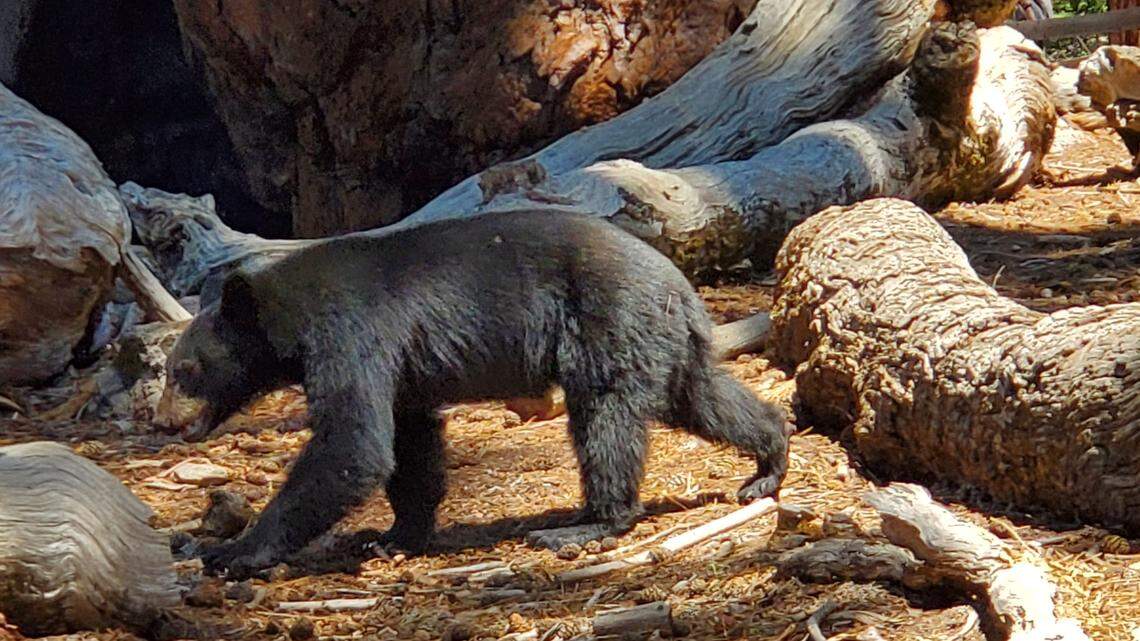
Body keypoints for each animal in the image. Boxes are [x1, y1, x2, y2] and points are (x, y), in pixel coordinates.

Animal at [156, 210, 789, 578]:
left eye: (184, 368)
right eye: (168, 368)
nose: (160, 421)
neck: (287, 315)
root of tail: (679, 285)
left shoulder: (352, 336)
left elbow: (351, 444)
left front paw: (233, 552)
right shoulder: (402, 371)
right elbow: (409, 442)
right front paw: (392, 537)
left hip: (604, 324)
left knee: (603, 422)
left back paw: (584, 523)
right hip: (658, 341)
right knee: (704, 398)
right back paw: (767, 463)